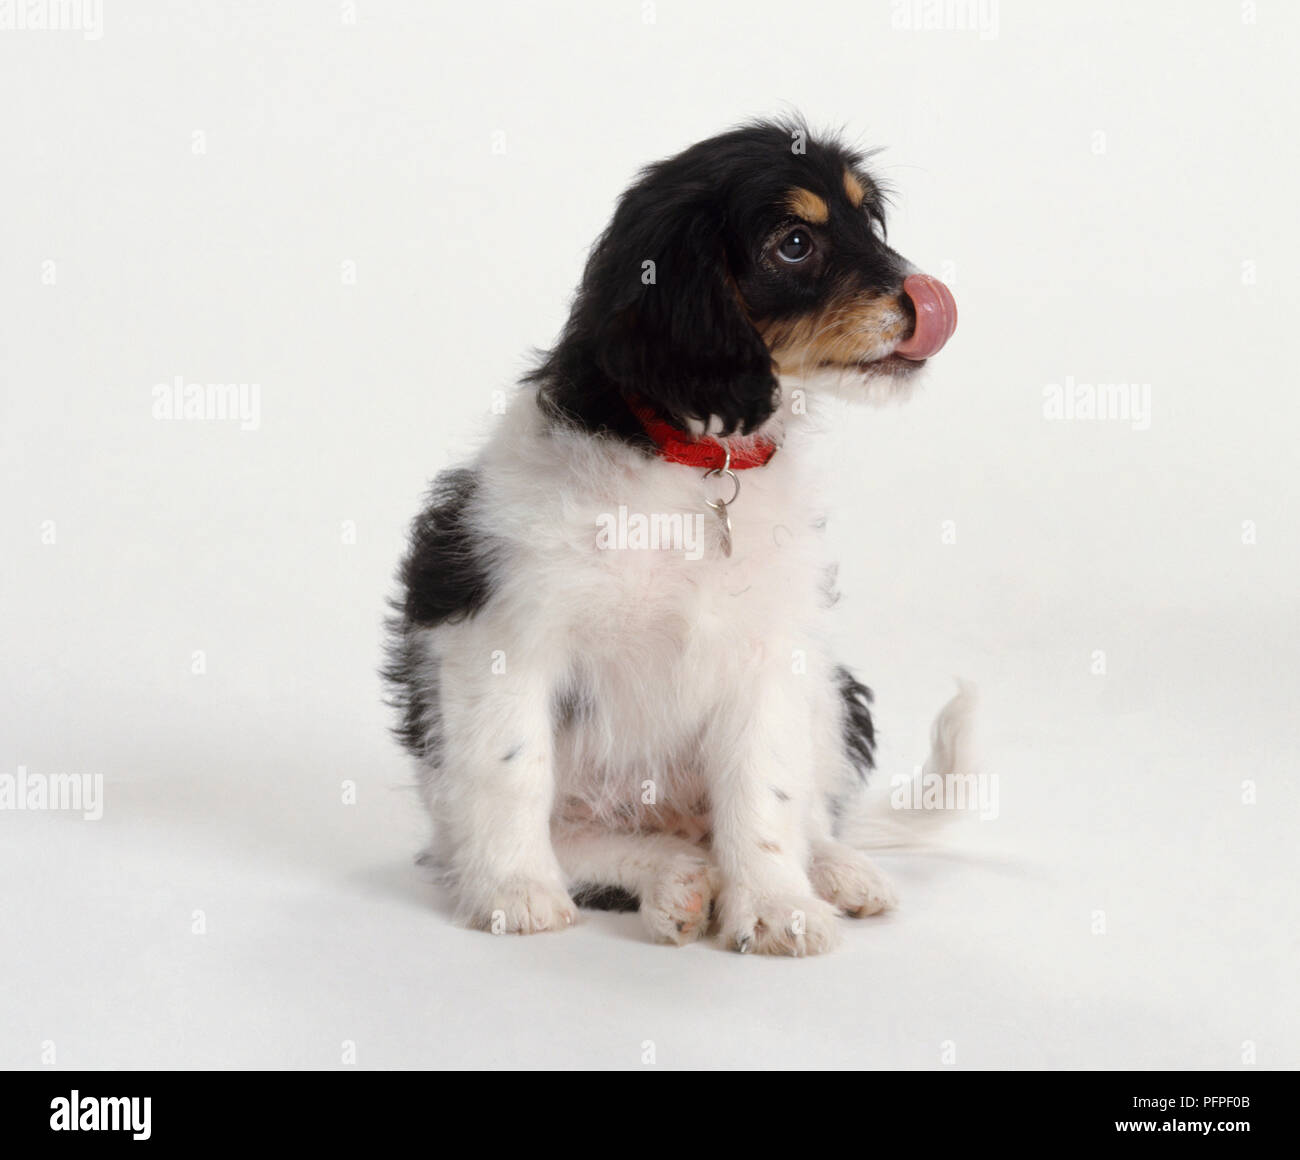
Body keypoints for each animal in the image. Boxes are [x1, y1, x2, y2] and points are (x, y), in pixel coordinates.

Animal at [379, 117, 972, 957]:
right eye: (795, 244)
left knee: (808, 816)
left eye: (868, 222)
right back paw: (670, 880)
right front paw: (514, 893)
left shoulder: (768, 650)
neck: (691, 464)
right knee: (573, 839)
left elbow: (765, 791)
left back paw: (831, 872)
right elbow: (510, 769)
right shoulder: (500, 632)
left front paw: (776, 905)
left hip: (829, 689)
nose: (931, 301)